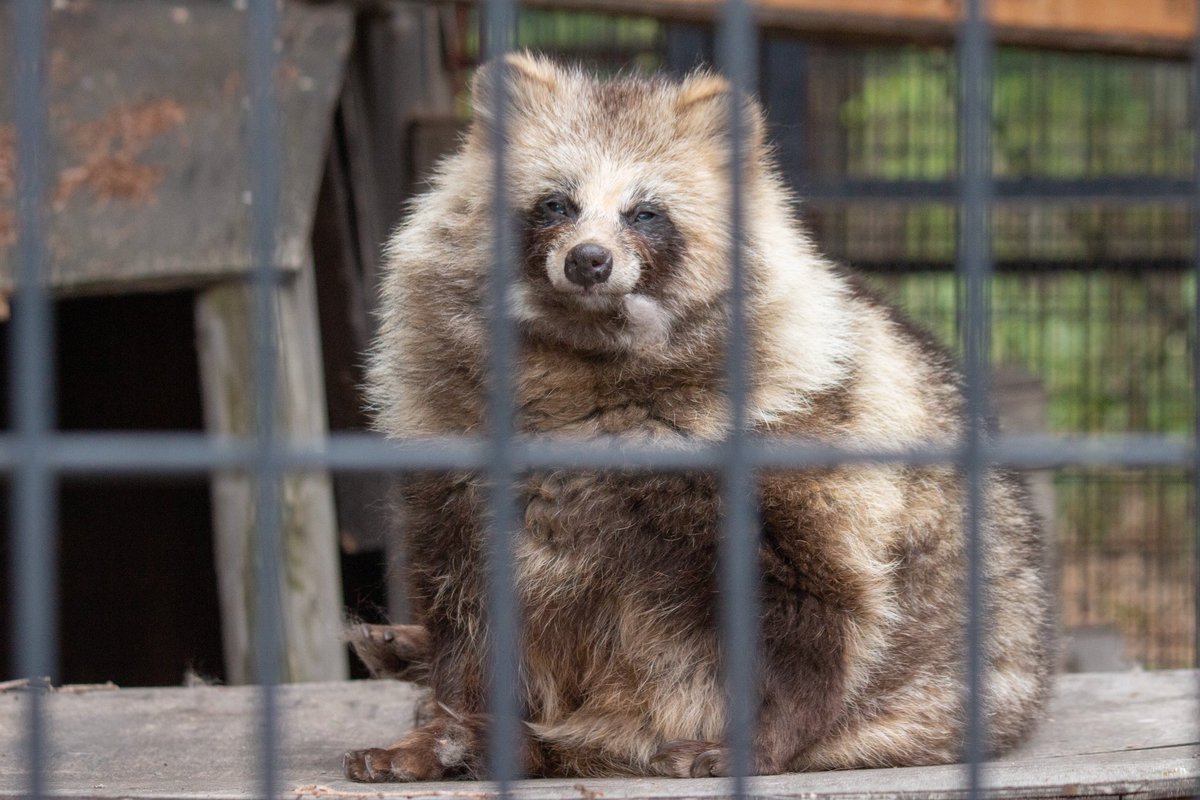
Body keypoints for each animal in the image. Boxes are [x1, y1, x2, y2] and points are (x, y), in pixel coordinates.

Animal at [345, 54, 1051, 782]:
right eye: (556, 203)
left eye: (645, 213)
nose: (588, 260)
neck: (589, 352)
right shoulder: (453, 464)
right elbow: (468, 614)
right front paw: (449, 718)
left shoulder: (806, 454)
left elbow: (823, 609)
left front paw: (766, 733)